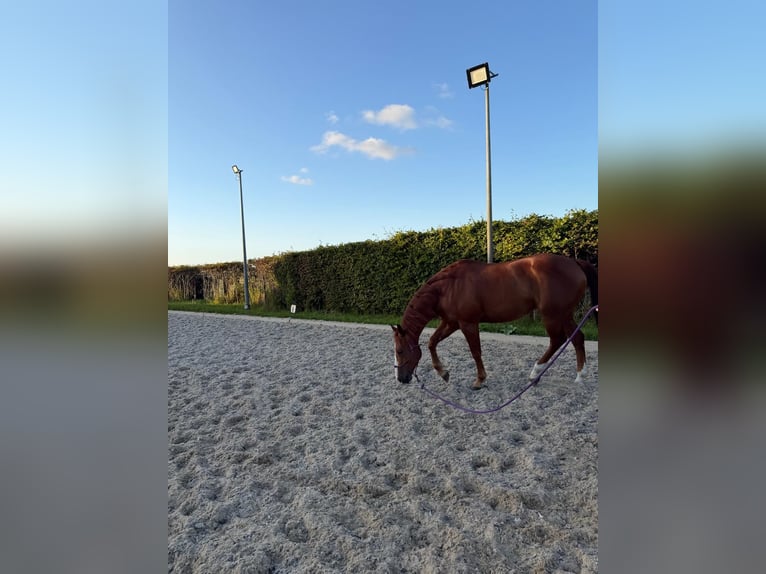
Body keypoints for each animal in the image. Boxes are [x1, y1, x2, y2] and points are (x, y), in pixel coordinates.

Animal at [391, 253, 598, 389]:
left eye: (399, 351)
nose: (401, 379)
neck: (447, 287)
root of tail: (573, 262)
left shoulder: (468, 323)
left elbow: (475, 352)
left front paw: (479, 380)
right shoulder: (451, 323)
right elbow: (432, 342)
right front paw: (444, 373)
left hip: (552, 315)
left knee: (557, 340)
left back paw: (535, 374)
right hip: (565, 315)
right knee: (577, 338)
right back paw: (580, 376)